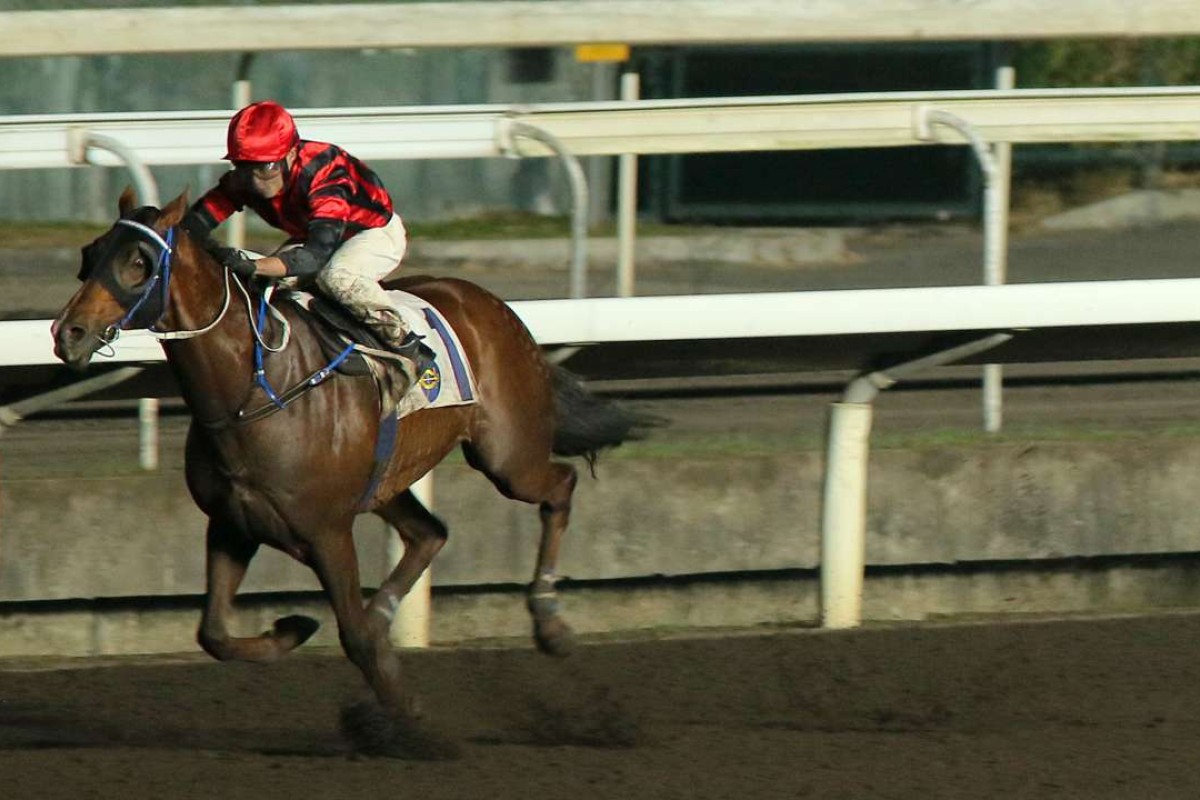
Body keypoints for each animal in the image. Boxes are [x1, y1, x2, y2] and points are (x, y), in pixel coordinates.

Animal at [49, 190, 648, 762]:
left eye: (139, 261)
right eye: (90, 254)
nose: (67, 333)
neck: (254, 390)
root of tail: (494, 304)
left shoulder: (327, 532)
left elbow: (352, 636)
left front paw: (411, 726)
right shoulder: (232, 524)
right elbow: (213, 632)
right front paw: (293, 628)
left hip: (507, 455)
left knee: (559, 486)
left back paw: (549, 622)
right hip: (386, 480)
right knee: (430, 534)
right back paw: (389, 615)